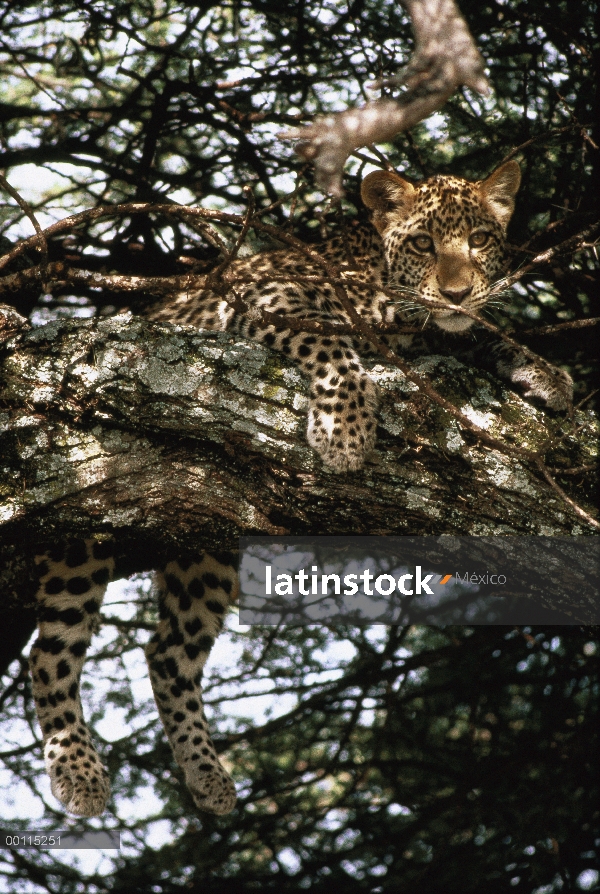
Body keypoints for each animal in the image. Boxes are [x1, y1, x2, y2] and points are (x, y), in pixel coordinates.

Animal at [28, 159, 572, 820]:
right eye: (422, 243)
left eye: (480, 240)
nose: (456, 293)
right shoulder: (270, 304)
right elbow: (331, 341)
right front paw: (345, 430)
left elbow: (485, 333)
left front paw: (545, 372)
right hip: (89, 519)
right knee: (51, 651)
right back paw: (77, 770)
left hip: (205, 549)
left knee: (168, 655)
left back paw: (208, 775)